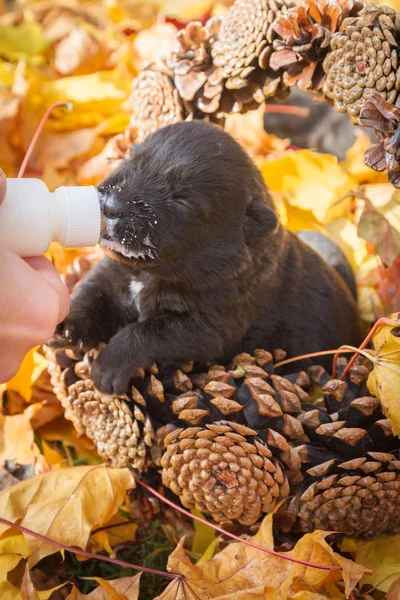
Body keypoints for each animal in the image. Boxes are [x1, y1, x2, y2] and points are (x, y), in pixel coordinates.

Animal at [51, 120, 360, 394]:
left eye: (181, 200)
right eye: (132, 158)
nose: (111, 206)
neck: (150, 274)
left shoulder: (205, 329)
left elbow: (146, 332)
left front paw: (108, 367)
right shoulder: (112, 273)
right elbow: (90, 291)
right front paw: (65, 328)